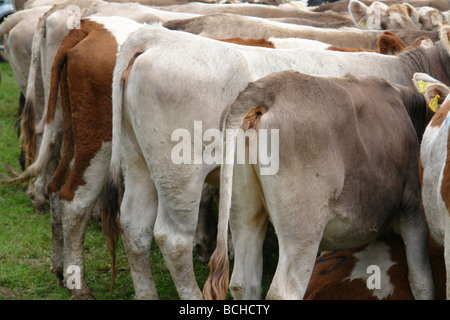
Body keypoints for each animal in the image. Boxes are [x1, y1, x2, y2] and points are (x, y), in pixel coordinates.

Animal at [206, 69, 434, 300]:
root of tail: (270, 85)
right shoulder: (414, 208)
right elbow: (422, 282)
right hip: (303, 228)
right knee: (284, 291)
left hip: (244, 211)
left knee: (243, 283)